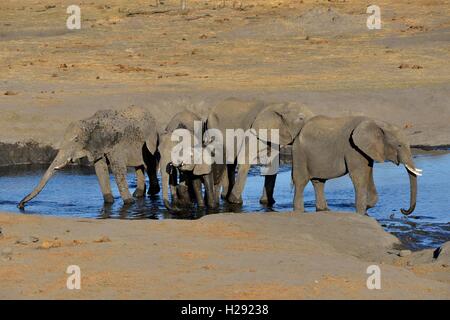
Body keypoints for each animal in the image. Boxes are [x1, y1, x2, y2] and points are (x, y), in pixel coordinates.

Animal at [18, 106, 162, 209]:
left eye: (76, 140)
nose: (20, 205)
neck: (90, 121)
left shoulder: (115, 144)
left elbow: (118, 170)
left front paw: (129, 203)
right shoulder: (97, 147)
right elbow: (100, 170)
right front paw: (109, 202)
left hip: (151, 140)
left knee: (149, 165)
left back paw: (151, 193)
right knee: (139, 167)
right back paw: (138, 194)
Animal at [292, 115, 422, 215]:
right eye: (399, 145)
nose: (402, 210)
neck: (377, 123)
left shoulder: (365, 150)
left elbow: (368, 173)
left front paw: (366, 208)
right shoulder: (352, 148)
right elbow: (359, 176)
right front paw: (360, 212)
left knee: (319, 182)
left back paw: (323, 210)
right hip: (299, 153)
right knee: (301, 181)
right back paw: (299, 211)